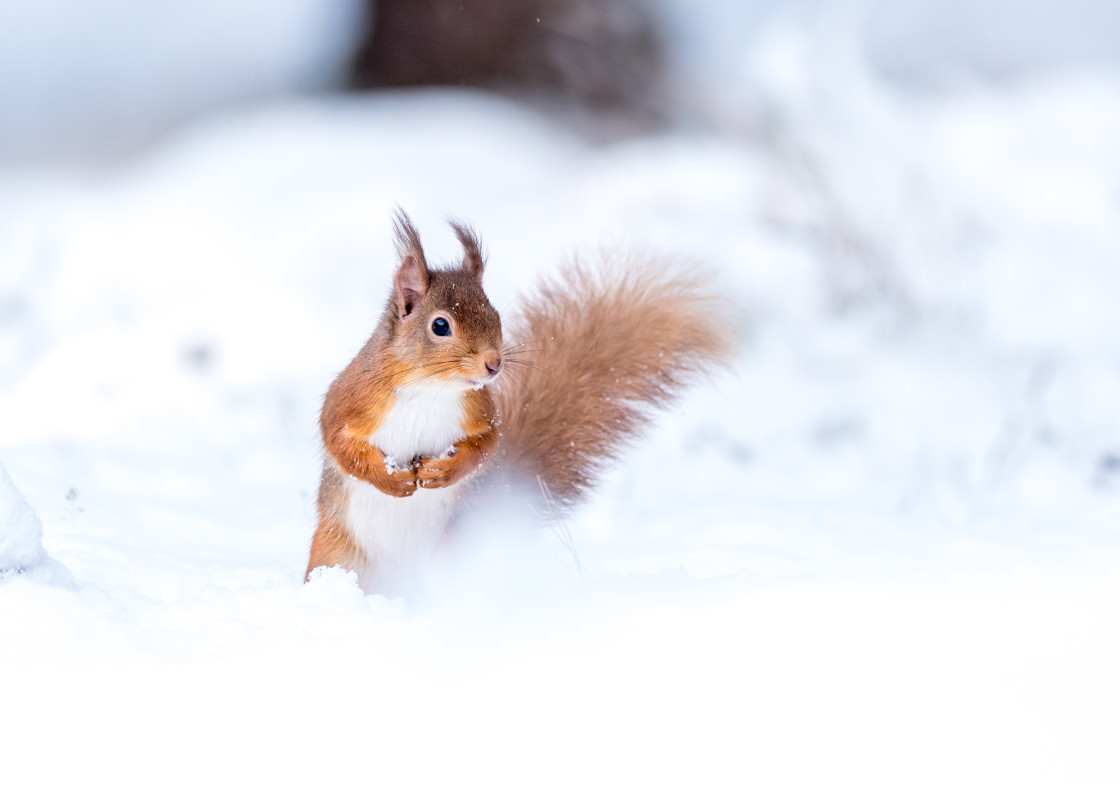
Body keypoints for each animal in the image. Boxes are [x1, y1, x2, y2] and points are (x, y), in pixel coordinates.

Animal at [304, 212, 734, 595]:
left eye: (494, 313)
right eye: (440, 325)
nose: (494, 364)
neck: (431, 388)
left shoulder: (480, 409)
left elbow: (486, 444)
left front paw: (443, 472)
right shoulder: (354, 397)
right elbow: (339, 441)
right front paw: (391, 480)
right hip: (336, 555)